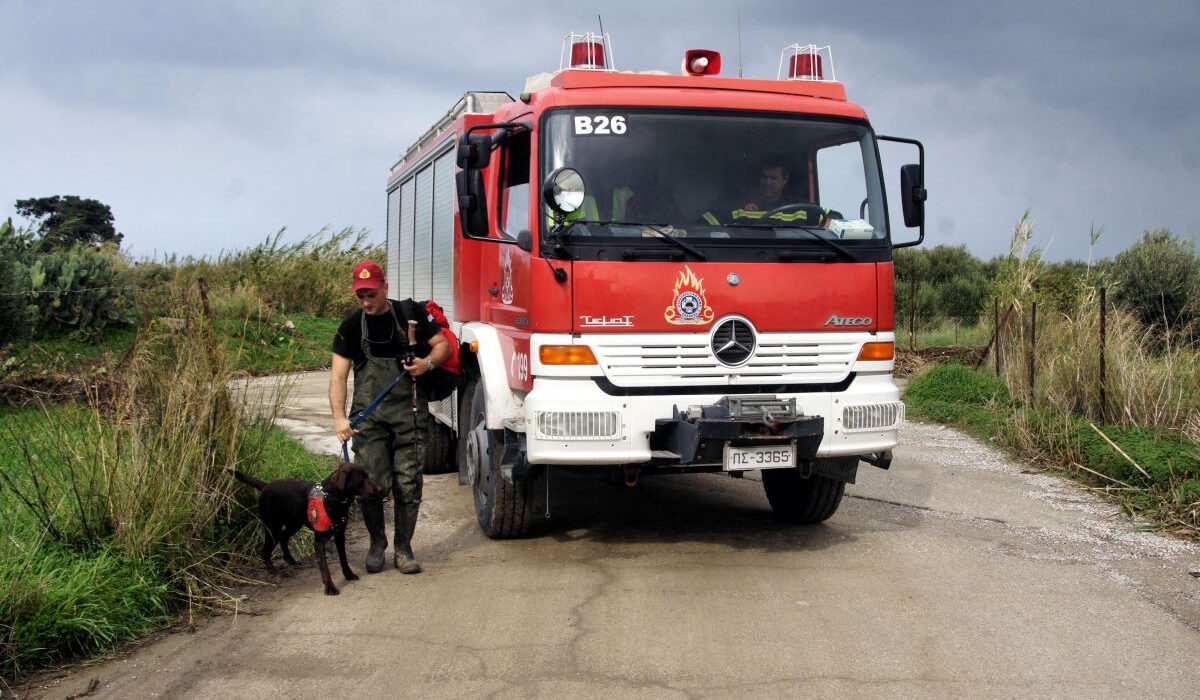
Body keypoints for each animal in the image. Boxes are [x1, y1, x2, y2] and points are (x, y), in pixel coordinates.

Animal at [231, 463, 381, 595]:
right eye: (361, 480)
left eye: (367, 476)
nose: (380, 489)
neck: (331, 497)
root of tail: (266, 486)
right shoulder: (319, 541)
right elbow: (325, 568)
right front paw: (330, 588)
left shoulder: (340, 534)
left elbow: (343, 559)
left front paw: (349, 574)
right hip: (272, 528)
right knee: (264, 551)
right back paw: (273, 570)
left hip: (294, 523)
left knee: (283, 538)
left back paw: (291, 560)